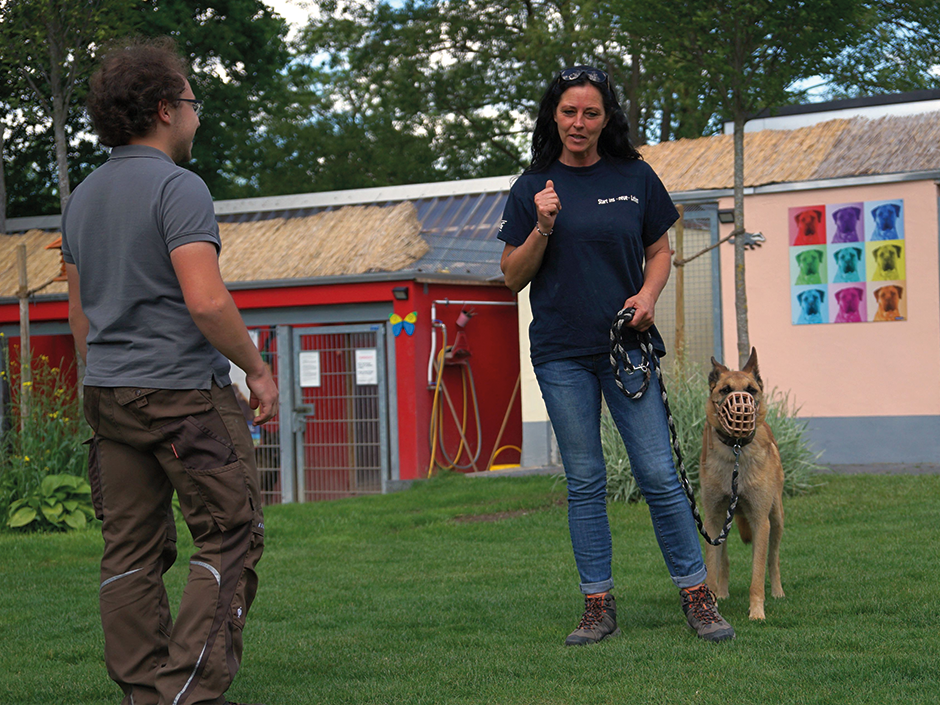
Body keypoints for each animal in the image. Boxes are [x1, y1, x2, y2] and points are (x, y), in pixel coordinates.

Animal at [696, 350, 784, 620]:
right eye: (725, 390)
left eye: (751, 390)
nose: (741, 409)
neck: (735, 448)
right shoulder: (712, 521)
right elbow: (713, 568)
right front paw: (712, 604)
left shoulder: (760, 522)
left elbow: (757, 573)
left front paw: (756, 612)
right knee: (724, 561)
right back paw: (723, 592)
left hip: (776, 519)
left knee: (773, 560)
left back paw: (777, 591)